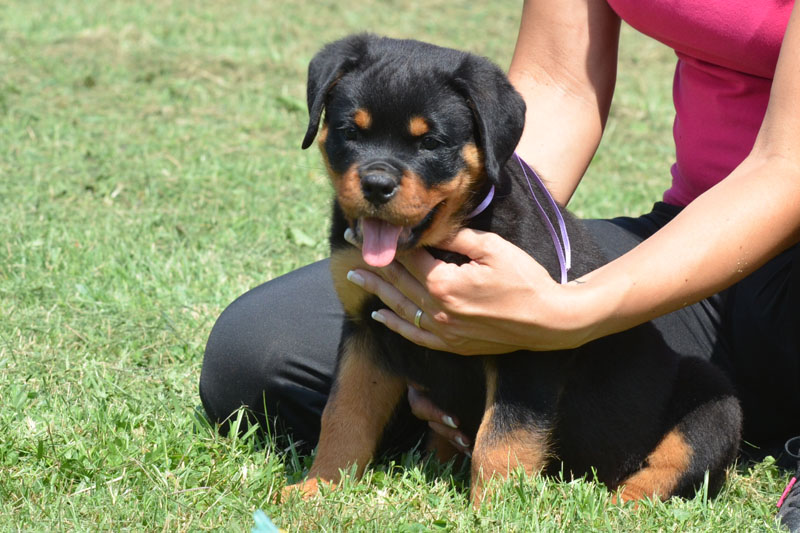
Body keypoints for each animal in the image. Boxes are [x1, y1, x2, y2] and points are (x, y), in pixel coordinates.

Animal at [284, 34, 740, 502]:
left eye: (430, 143)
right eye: (350, 132)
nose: (376, 185)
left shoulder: (527, 346)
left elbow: (503, 437)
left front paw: (492, 507)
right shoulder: (366, 329)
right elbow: (344, 414)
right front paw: (318, 487)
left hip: (715, 402)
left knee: (669, 468)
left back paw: (615, 506)